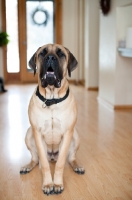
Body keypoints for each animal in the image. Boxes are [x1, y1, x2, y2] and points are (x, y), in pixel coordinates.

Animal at [20, 43, 84, 195]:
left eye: (61, 54)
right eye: (42, 53)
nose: (50, 57)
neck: (52, 100)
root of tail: (52, 156)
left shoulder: (67, 133)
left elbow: (60, 164)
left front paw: (58, 184)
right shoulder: (37, 133)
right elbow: (43, 163)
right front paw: (48, 184)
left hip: (76, 135)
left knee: (71, 158)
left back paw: (77, 166)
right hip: (29, 134)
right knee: (35, 158)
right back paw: (28, 166)